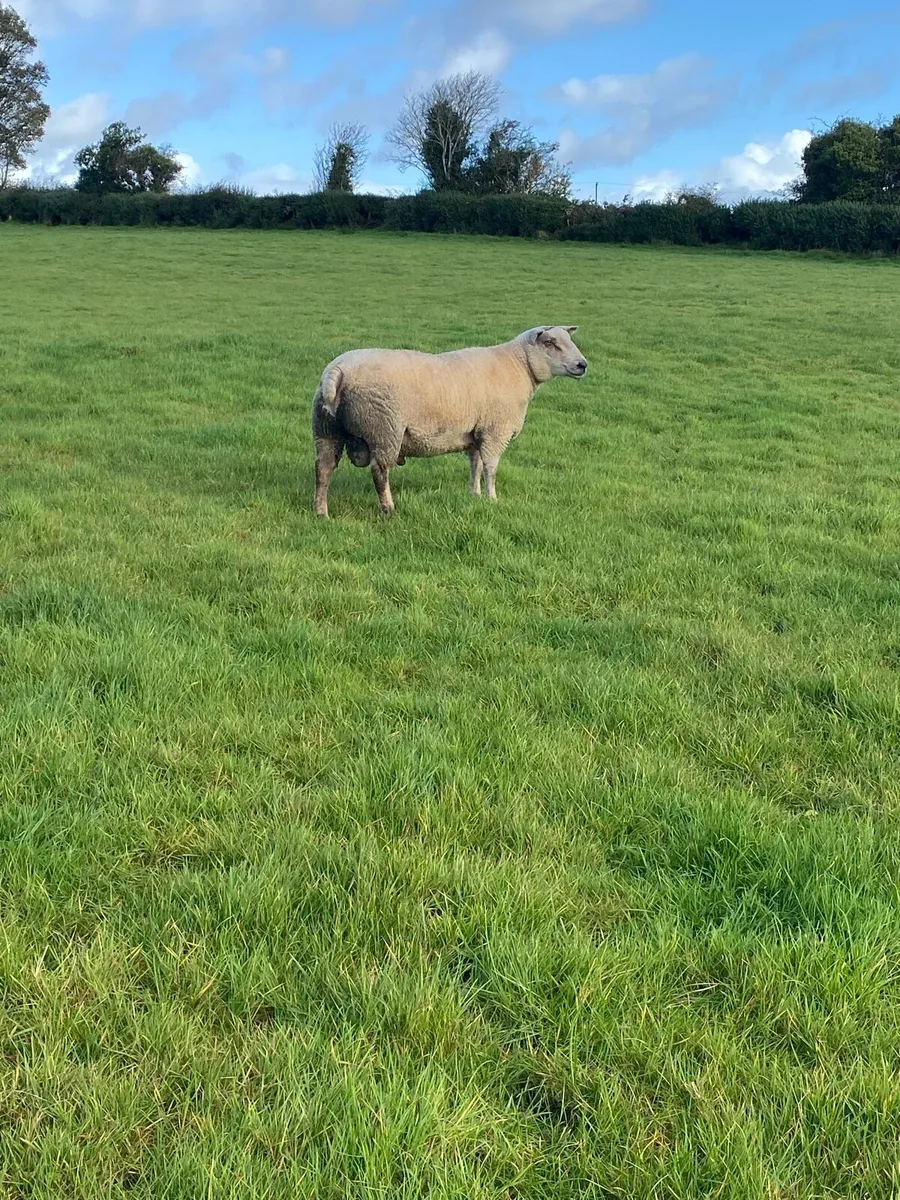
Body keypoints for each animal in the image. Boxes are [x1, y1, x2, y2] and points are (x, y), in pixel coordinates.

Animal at [312, 326, 588, 517]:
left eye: (570, 340)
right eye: (551, 343)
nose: (582, 365)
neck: (519, 366)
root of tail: (337, 371)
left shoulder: (476, 433)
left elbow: (475, 465)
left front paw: (474, 495)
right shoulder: (494, 432)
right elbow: (490, 468)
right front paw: (492, 499)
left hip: (326, 430)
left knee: (323, 469)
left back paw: (321, 512)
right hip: (383, 429)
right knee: (379, 473)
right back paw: (388, 509)